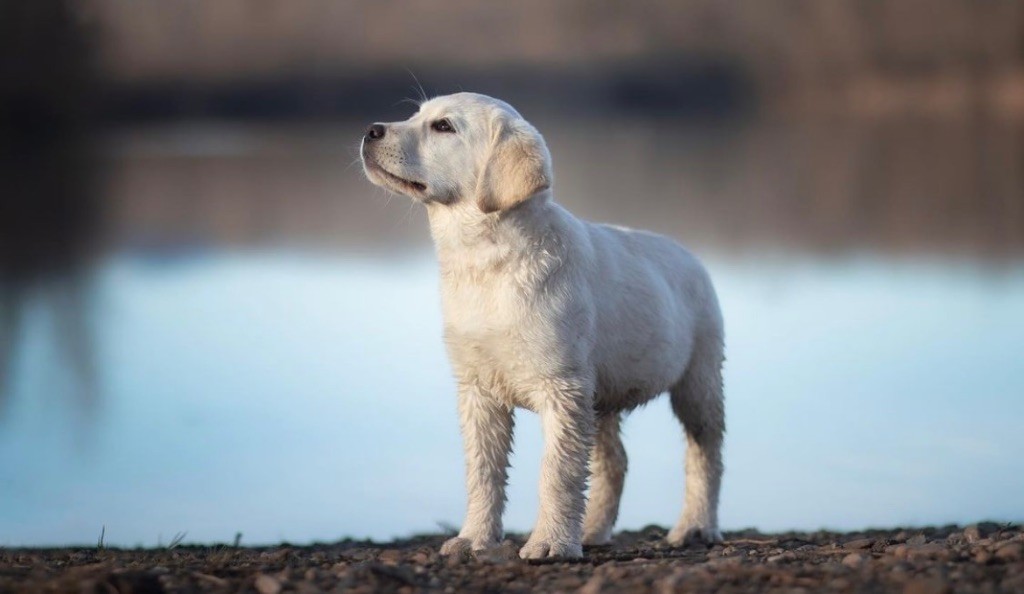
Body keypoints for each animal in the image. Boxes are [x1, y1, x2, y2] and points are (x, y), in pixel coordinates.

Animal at [358, 91, 720, 557]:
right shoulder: (479, 389)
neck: (488, 262)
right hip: (599, 397)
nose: (371, 130)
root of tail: (688, 253)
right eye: (417, 114)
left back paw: (695, 526)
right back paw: (592, 530)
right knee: (614, 461)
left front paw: (550, 544)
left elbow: (557, 473)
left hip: (699, 381)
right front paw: (474, 538)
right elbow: (483, 473)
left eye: (443, 127)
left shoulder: (561, 388)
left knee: (705, 454)